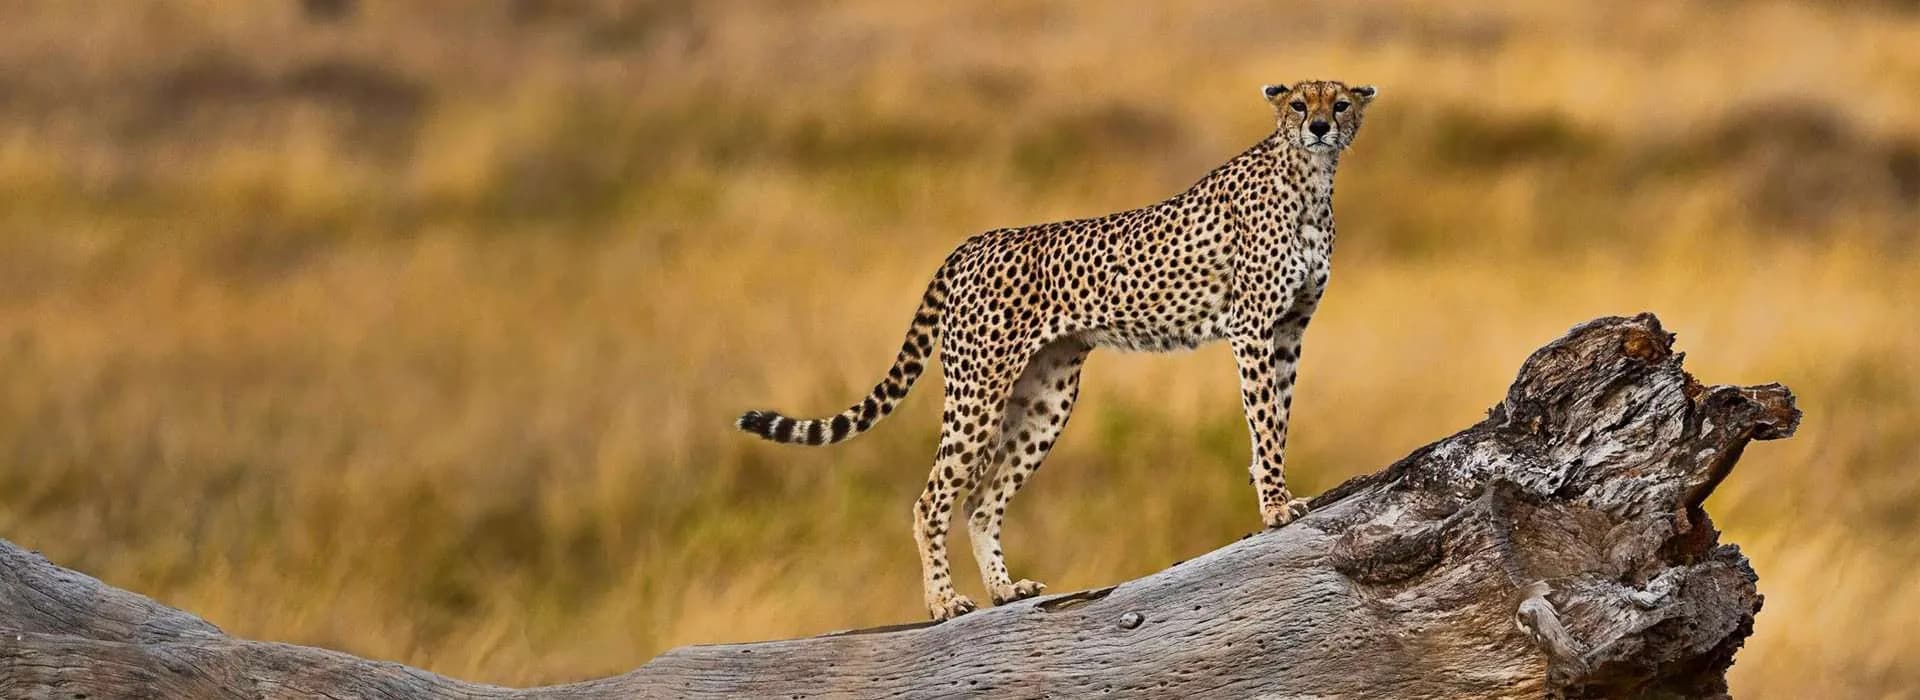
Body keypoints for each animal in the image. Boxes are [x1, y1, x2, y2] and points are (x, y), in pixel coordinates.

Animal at [737, 80, 1378, 621]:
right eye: (1300, 104)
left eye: (1340, 103)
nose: (1320, 126)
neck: (1309, 179)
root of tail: (976, 240)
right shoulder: (1254, 329)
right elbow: (1264, 422)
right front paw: (1275, 506)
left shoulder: (1289, 332)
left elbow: (1279, 418)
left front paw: (1277, 492)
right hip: (978, 392)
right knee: (933, 498)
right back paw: (944, 602)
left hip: (1047, 398)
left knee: (981, 501)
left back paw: (1004, 590)